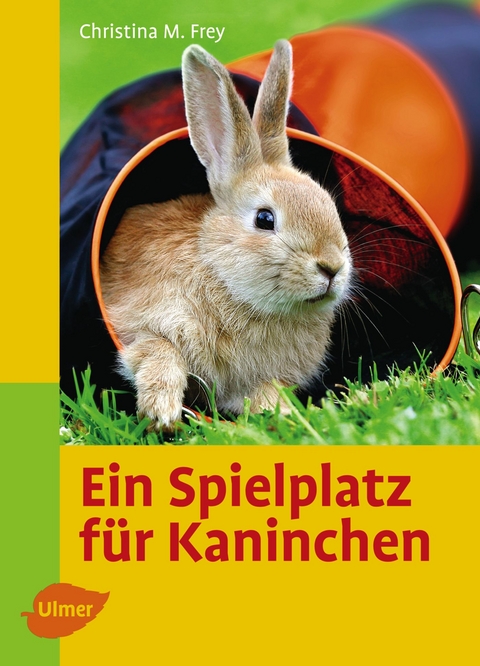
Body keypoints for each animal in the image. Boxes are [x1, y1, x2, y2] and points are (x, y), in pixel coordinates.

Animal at [100, 40, 352, 430]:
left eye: (328, 203)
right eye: (265, 219)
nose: (332, 267)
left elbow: (268, 390)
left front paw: (281, 415)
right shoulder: (139, 322)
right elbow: (160, 350)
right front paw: (161, 411)